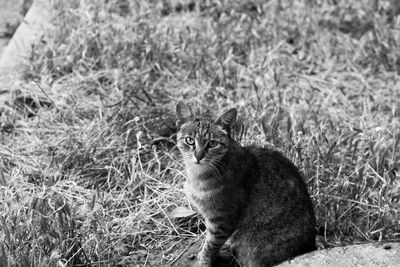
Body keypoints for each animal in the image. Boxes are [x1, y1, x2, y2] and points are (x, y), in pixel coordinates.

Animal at [174, 101, 316, 266]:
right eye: (190, 140)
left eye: (213, 143)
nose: (198, 156)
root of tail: (310, 245)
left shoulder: (221, 221)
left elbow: (210, 246)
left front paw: (204, 261)